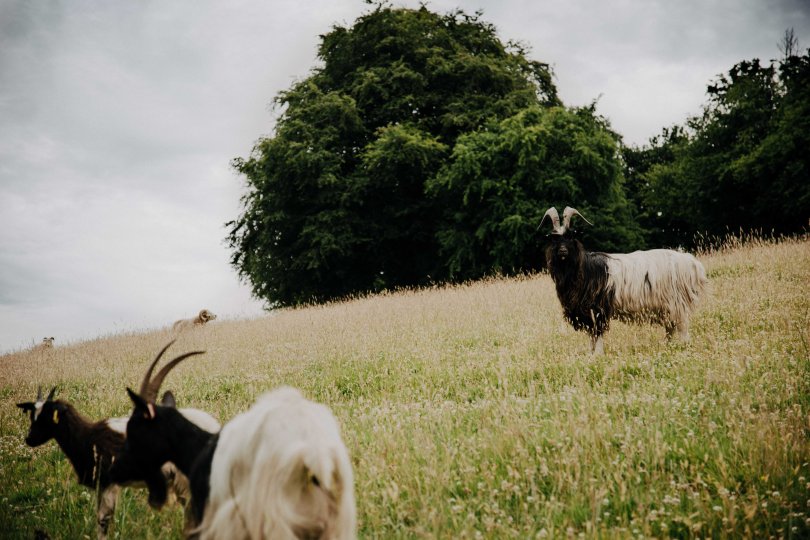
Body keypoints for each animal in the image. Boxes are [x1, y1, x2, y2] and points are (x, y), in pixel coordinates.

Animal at [16, 371, 220, 539]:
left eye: (46, 417)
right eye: (32, 415)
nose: (29, 439)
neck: (87, 437)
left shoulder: (107, 484)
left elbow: (103, 522)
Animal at [109, 342, 356, 539]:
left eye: (133, 430)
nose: (115, 469)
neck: (199, 449)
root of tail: (313, 453)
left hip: (275, 522)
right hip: (336, 524)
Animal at [541, 206, 708, 355]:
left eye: (570, 236)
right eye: (554, 238)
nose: (563, 251)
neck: (584, 269)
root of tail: (691, 263)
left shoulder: (599, 308)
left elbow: (598, 332)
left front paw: (598, 355)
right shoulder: (585, 312)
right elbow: (592, 334)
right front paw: (591, 354)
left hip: (677, 303)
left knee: (682, 328)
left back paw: (682, 348)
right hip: (666, 306)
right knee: (670, 327)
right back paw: (667, 347)